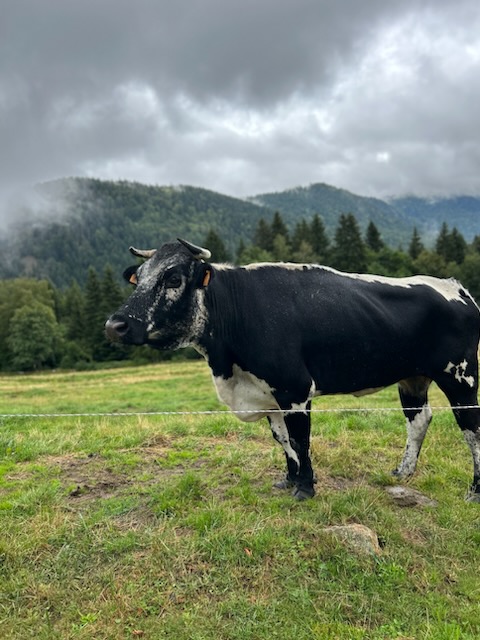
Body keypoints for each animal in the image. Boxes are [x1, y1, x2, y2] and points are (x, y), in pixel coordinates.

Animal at [105, 238, 480, 502]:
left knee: (471, 428)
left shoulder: (294, 388)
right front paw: (290, 480)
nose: (115, 325)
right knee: (419, 419)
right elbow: (282, 439)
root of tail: (455, 286)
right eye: (138, 279)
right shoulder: (267, 393)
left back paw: (474, 491)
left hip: (460, 376)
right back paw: (402, 473)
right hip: (413, 375)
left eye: (173, 278)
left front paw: (306, 488)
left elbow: (300, 438)